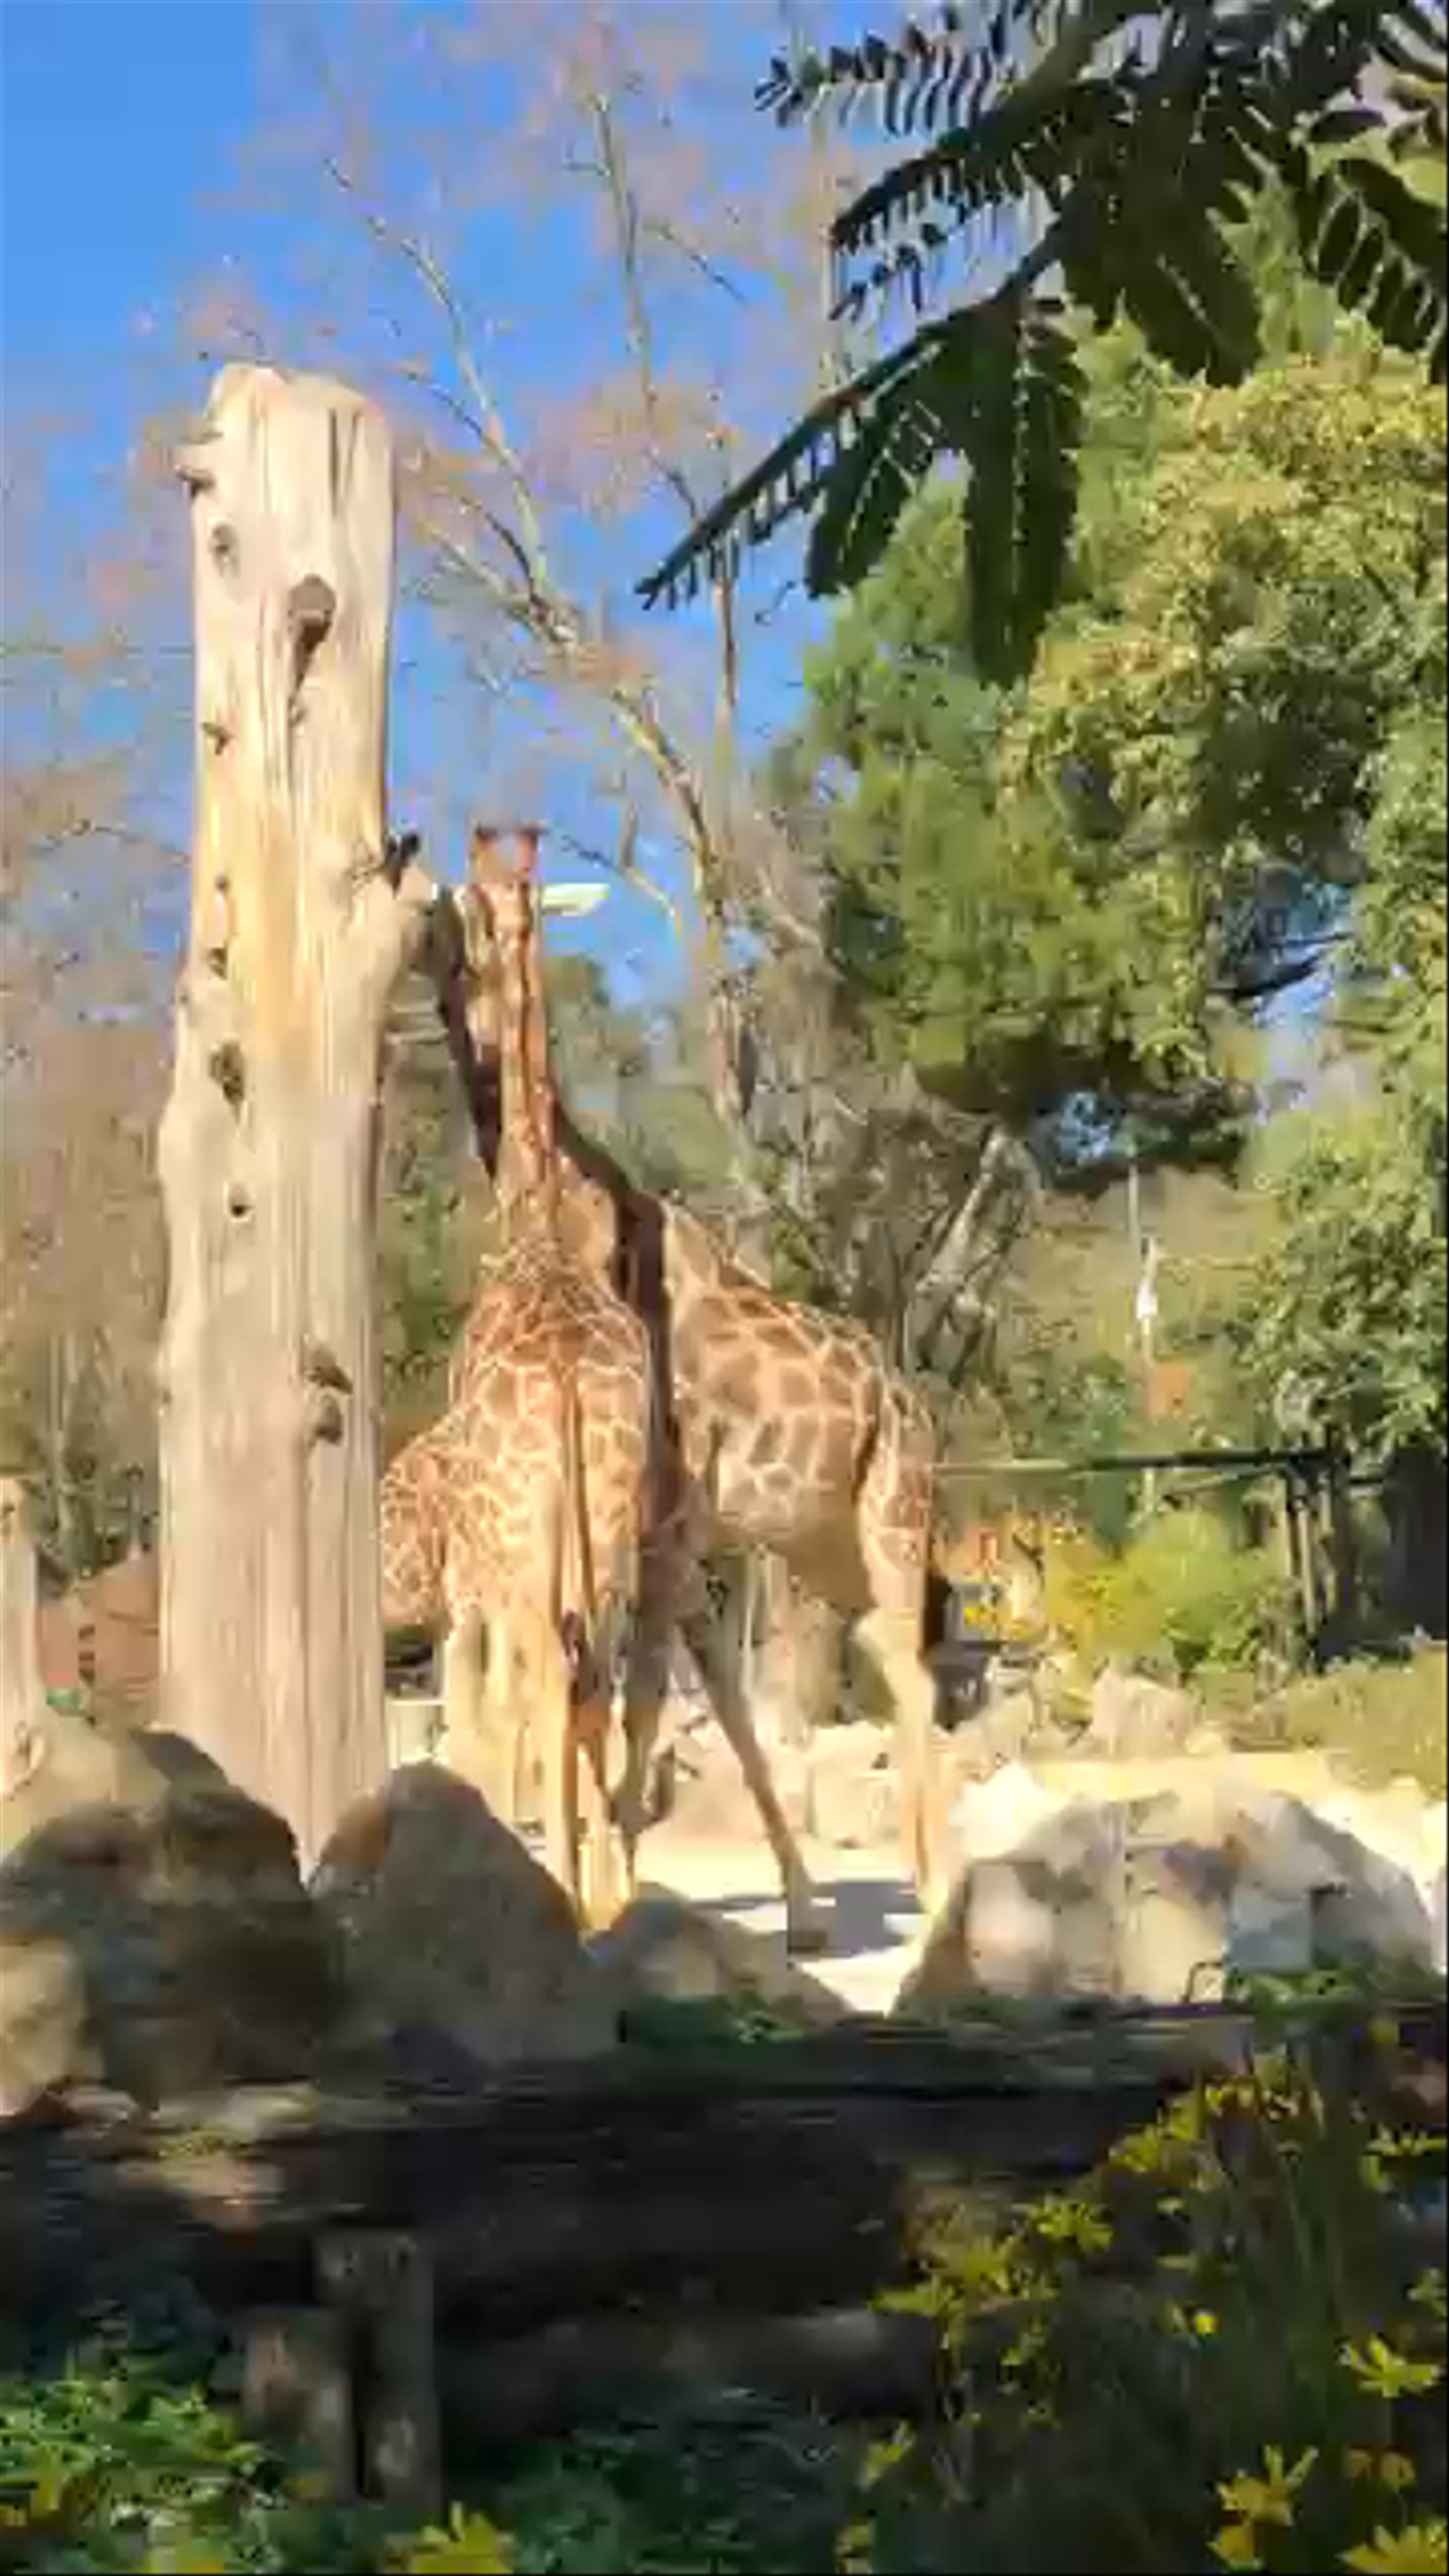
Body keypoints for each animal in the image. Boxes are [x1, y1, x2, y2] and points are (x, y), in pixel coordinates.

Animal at [380, 826, 657, 1926]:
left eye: (452, 944)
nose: (436, 987)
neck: (533, 1226)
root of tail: (572, 1377)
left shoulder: (475, 1581)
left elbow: (478, 1716)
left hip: (522, 1539)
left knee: (541, 1681)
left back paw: (562, 1893)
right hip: (614, 1520)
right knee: (601, 1680)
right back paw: (614, 1904)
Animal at [438, 847, 944, 1923]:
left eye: (455, 932)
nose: (445, 987)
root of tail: (912, 1400)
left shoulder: (660, 1524)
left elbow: (632, 1698)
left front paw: (613, 1887)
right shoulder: (674, 1534)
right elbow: (708, 1695)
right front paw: (796, 1906)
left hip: (893, 1510)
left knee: (909, 1669)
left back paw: (943, 1894)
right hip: (822, 1542)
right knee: (886, 1659)